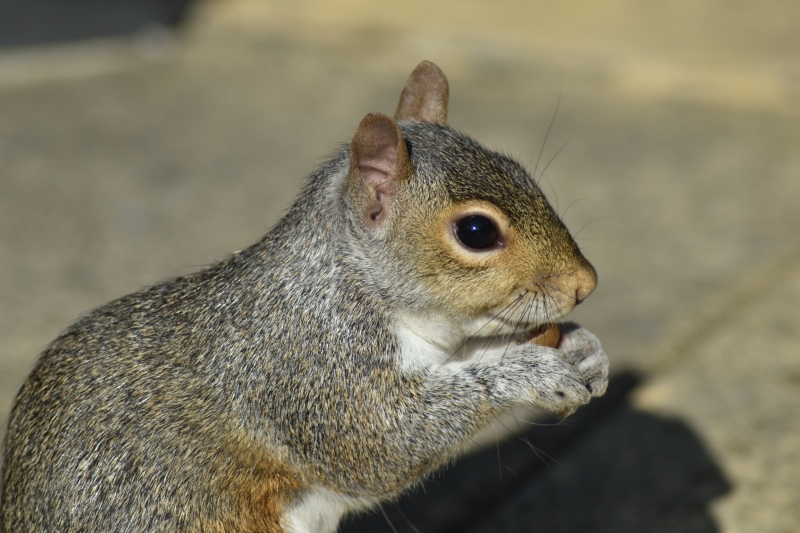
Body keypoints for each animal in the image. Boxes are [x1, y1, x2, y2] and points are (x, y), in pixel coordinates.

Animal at [1, 61, 608, 532]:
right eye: (476, 232)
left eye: (519, 170)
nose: (586, 284)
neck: (353, 284)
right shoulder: (310, 365)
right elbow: (385, 442)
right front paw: (530, 373)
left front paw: (584, 349)